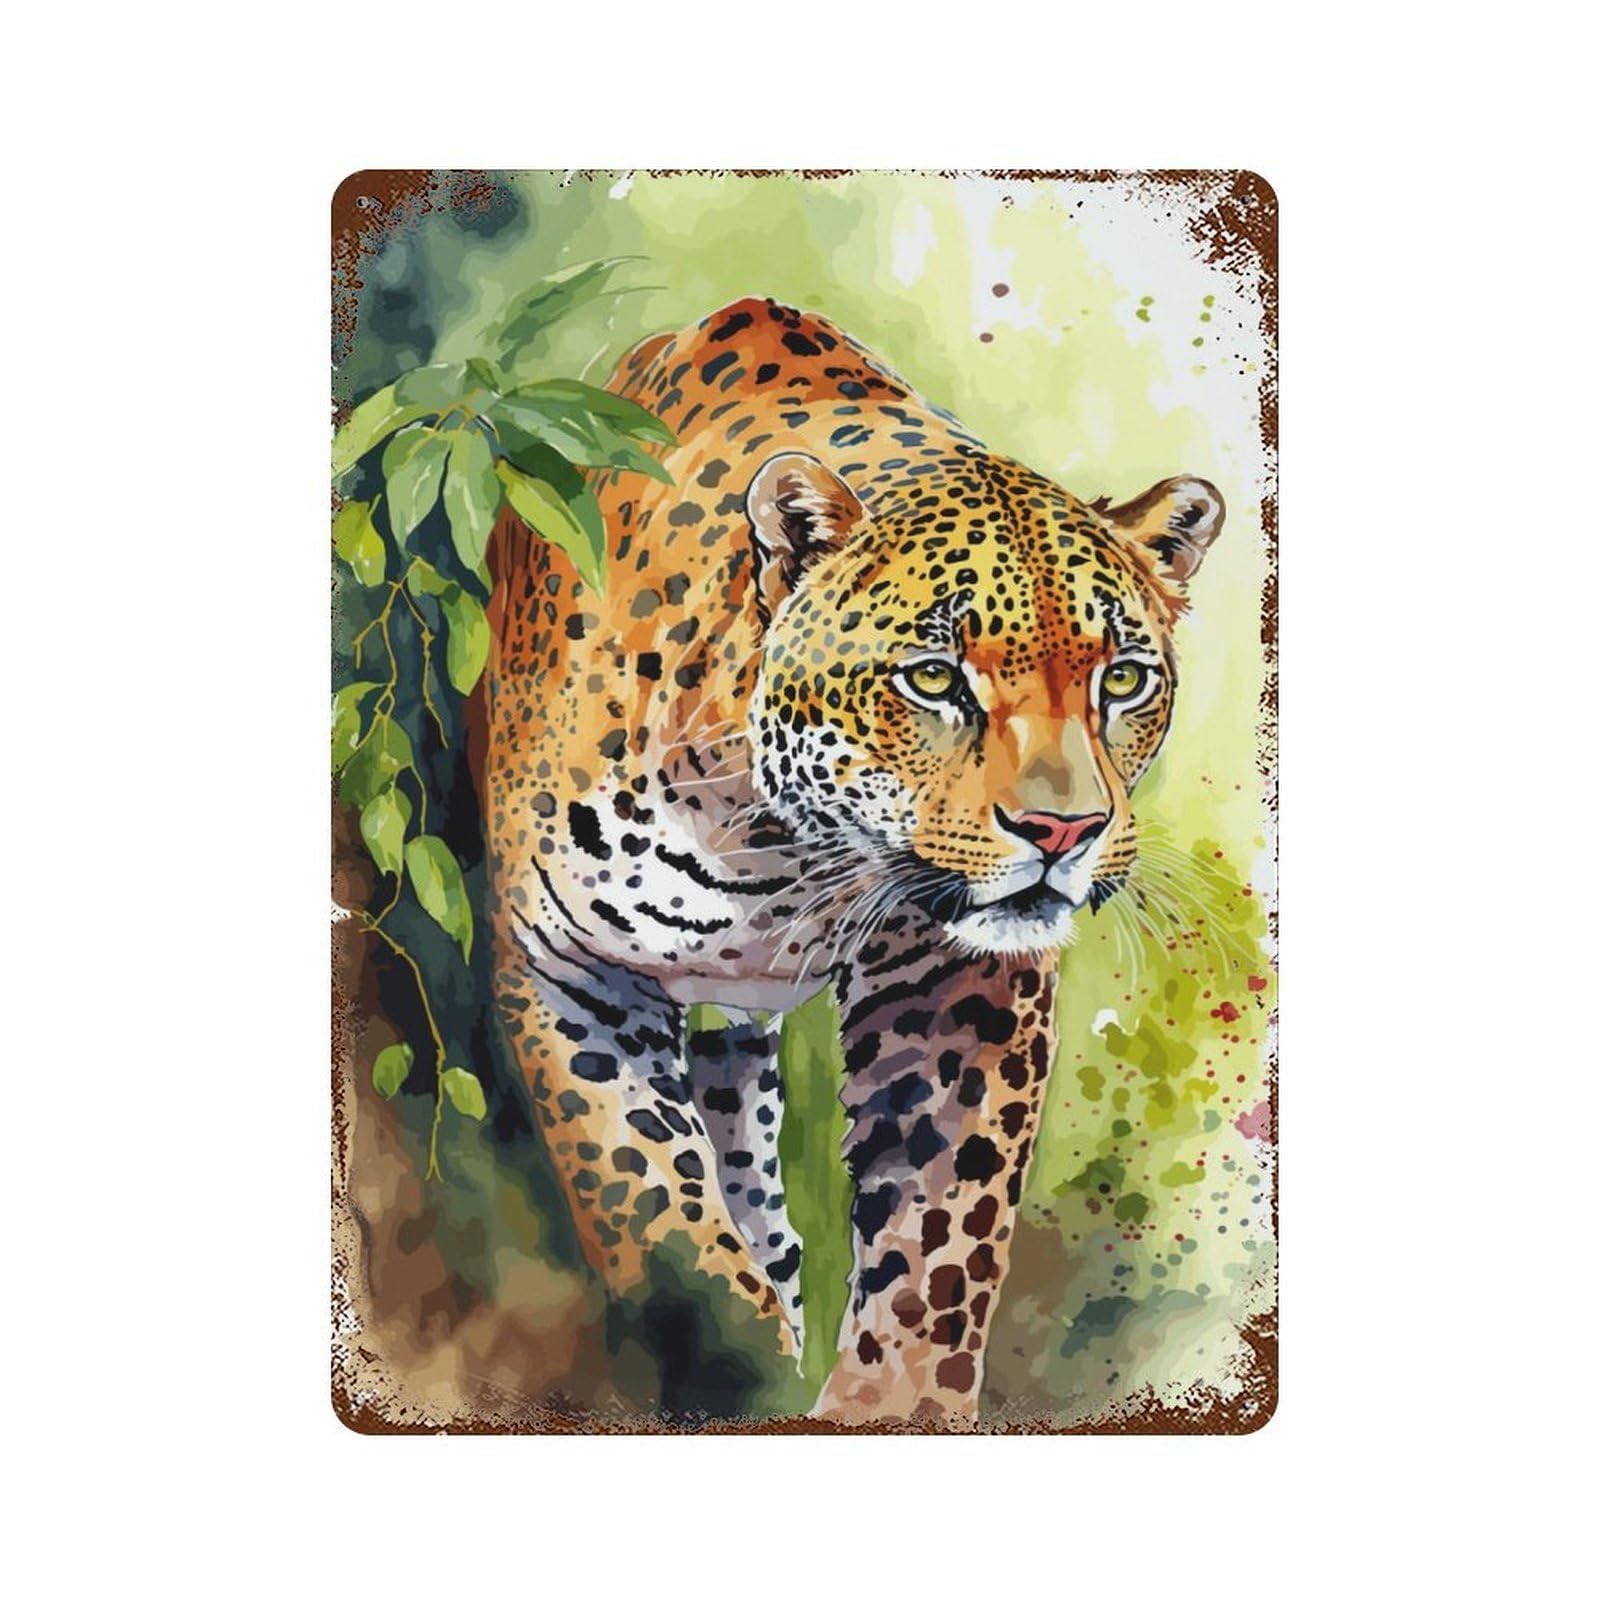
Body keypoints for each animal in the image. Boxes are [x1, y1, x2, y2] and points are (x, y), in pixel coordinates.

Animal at [483, 296, 1224, 1424]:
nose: (1062, 832)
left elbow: (939, 1240)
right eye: (933, 678)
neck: (775, 846)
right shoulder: (567, 968)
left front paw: (892, 1404)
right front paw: (723, 1363)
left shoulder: (955, 981)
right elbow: (651, 1203)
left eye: (1125, 679)